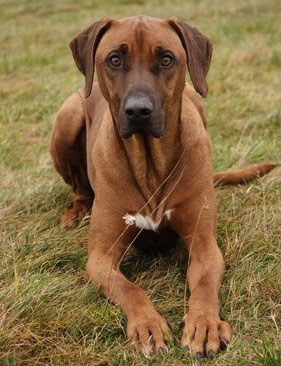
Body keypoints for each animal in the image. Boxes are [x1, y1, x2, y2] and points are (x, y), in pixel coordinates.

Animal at [49, 16, 274, 358]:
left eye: (167, 59)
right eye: (114, 59)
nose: (138, 110)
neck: (150, 166)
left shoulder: (204, 243)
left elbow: (204, 282)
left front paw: (205, 323)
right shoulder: (100, 257)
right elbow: (129, 288)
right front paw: (147, 324)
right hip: (67, 115)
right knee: (79, 186)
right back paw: (77, 211)